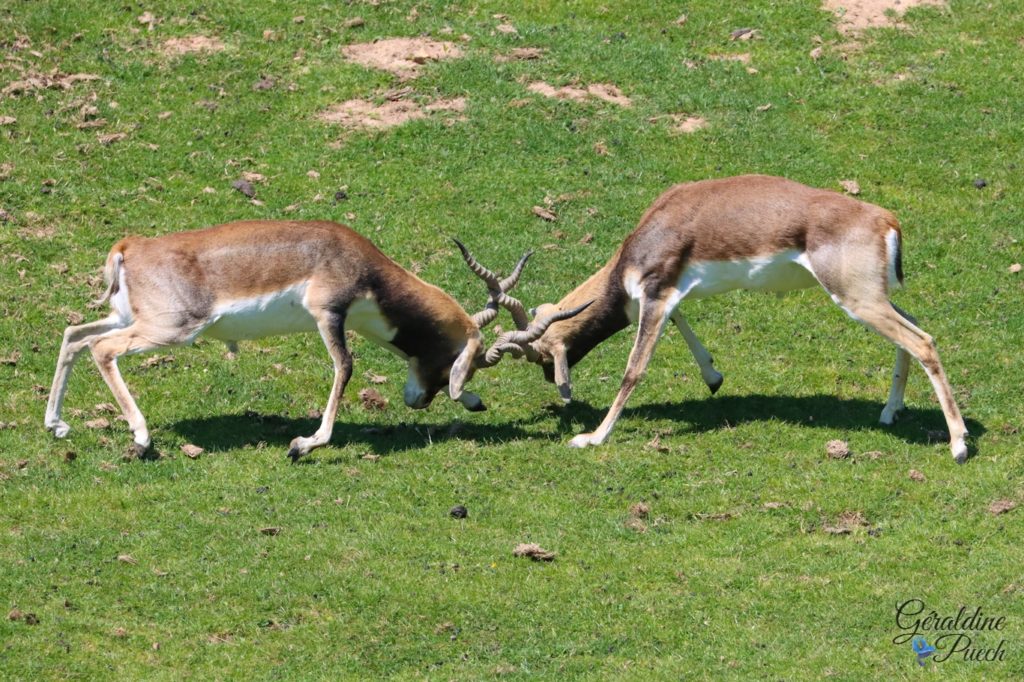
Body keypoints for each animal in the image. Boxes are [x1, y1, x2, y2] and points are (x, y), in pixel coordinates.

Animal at [41, 220, 585, 458]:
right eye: (462, 360)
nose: (419, 402)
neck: (362, 264)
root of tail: (131, 246)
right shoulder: (329, 314)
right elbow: (345, 368)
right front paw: (306, 443)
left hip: (125, 318)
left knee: (74, 335)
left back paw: (57, 425)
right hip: (170, 329)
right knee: (101, 349)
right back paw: (141, 437)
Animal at [507, 175, 970, 462]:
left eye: (539, 355)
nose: (549, 381)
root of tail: (886, 218)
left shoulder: (655, 295)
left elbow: (633, 370)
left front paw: (592, 436)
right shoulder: (668, 298)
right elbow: (683, 324)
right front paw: (713, 377)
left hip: (858, 300)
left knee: (923, 341)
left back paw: (959, 445)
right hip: (875, 298)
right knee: (913, 331)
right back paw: (891, 411)